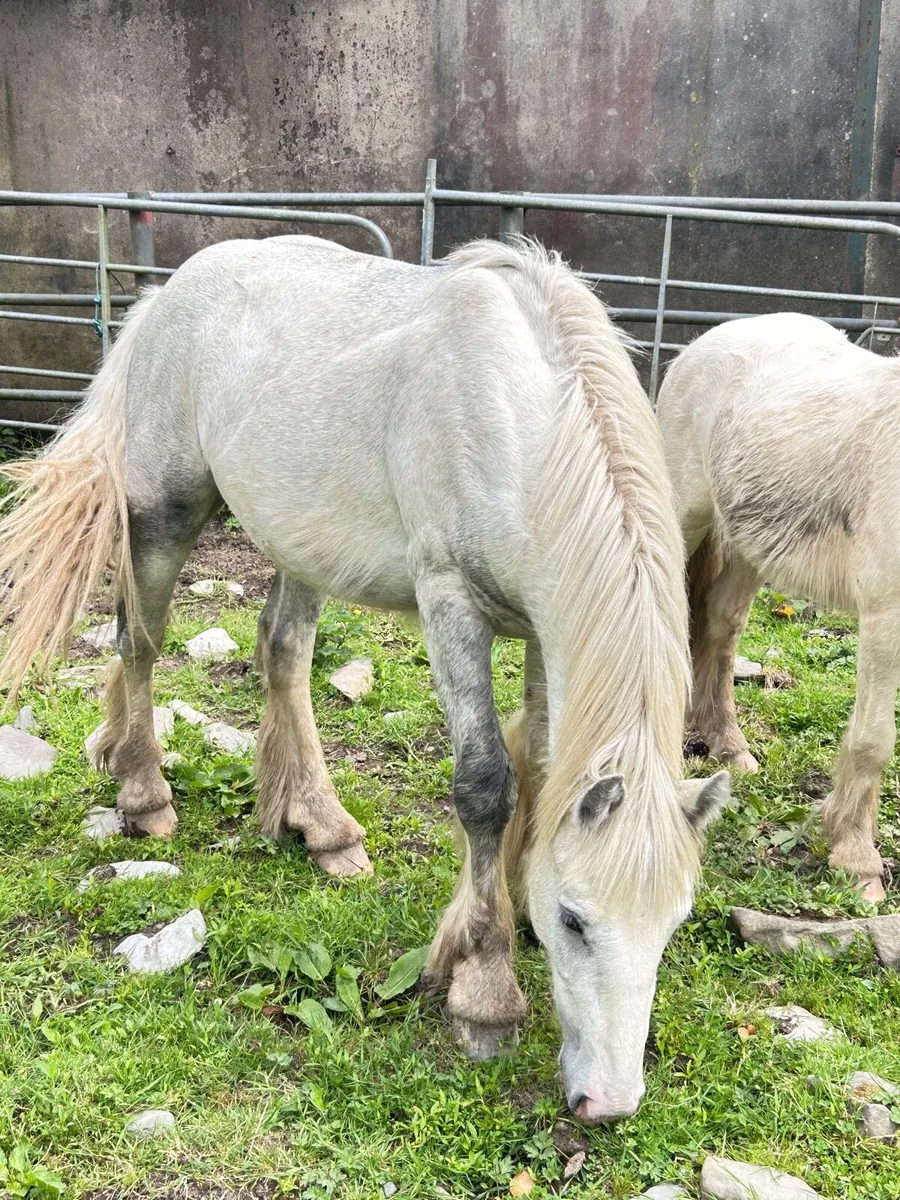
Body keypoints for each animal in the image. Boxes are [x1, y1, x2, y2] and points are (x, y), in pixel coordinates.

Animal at [0, 235, 727, 1123]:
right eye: (577, 920)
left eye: (672, 925)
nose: (610, 1102)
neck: (522, 424)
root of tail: (169, 293)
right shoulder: (451, 605)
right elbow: (486, 785)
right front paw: (485, 987)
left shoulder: (544, 631)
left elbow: (541, 766)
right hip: (163, 511)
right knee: (141, 641)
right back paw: (143, 792)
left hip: (298, 542)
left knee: (282, 651)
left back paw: (319, 825)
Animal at [656, 311, 899, 904]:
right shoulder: (885, 615)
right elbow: (873, 739)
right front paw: (856, 859)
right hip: (683, 517)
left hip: (751, 546)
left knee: (720, 626)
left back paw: (728, 747)